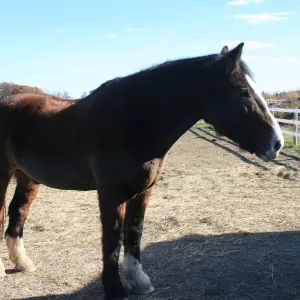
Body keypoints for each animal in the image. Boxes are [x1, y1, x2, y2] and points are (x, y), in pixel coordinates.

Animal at [0, 42, 284, 300]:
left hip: (28, 178)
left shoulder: (142, 192)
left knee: (18, 212)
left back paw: (23, 263)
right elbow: (112, 240)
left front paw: (139, 282)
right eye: (242, 91)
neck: (134, 121)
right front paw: (115, 290)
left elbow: (134, 233)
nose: (277, 143)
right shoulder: (111, 194)